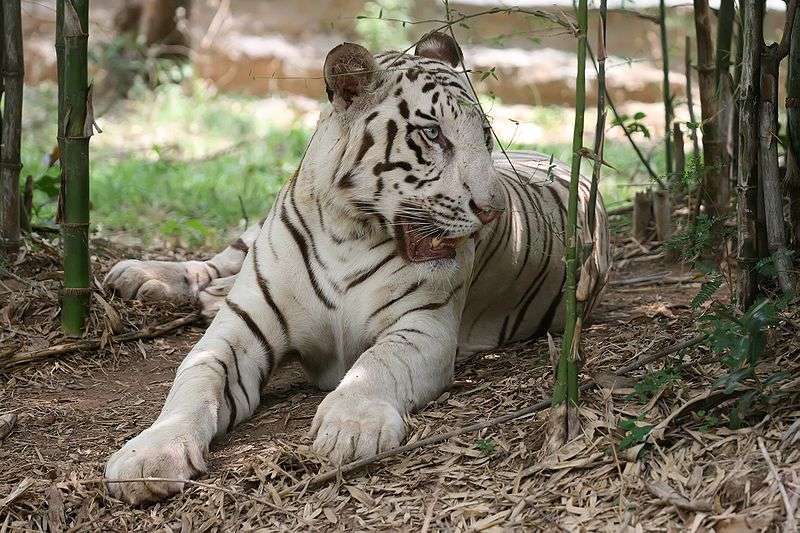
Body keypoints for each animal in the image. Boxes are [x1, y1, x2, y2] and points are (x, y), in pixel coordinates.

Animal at [103, 33, 608, 502]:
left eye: (483, 134)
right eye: (434, 134)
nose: (493, 210)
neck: (348, 232)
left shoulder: (423, 326)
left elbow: (376, 365)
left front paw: (351, 428)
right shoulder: (240, 330)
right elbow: (194, 382)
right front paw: (149, 457)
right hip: (249, 236)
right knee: (219, 260)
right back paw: (143, 276)